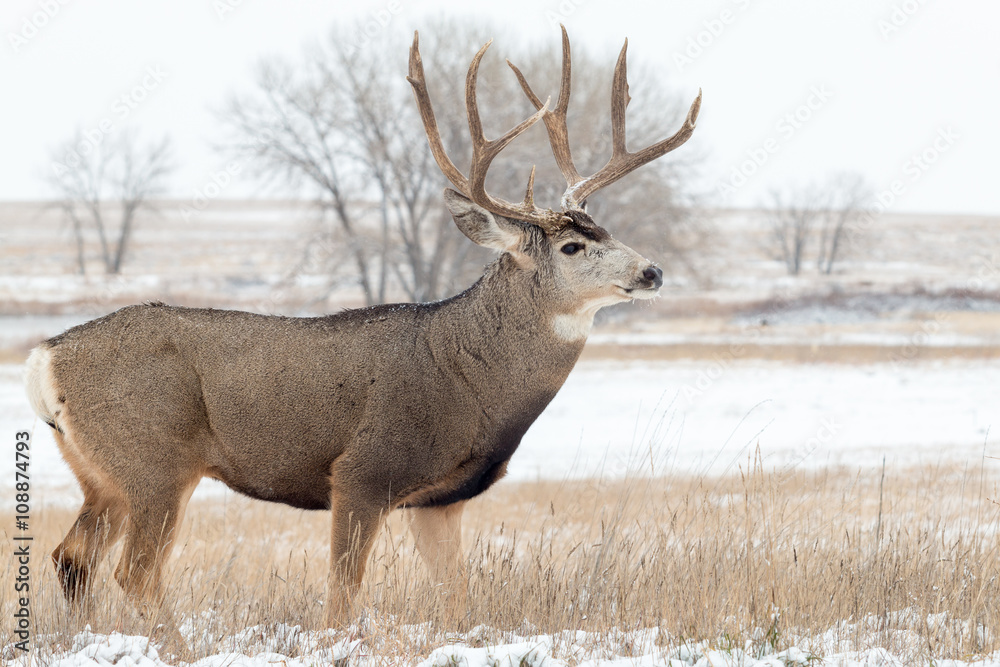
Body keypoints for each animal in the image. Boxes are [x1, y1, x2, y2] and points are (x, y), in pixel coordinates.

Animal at [24, 26, 700, 641]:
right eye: (572, 246)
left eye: (606, 229)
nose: (652, 270)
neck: (470, 376)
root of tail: (44, 358)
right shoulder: (363, 471)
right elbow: (342, 594)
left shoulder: (438, 499)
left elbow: (457, 596)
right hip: (156, 462)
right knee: (134, 573)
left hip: (102, 475)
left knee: (71, 559)